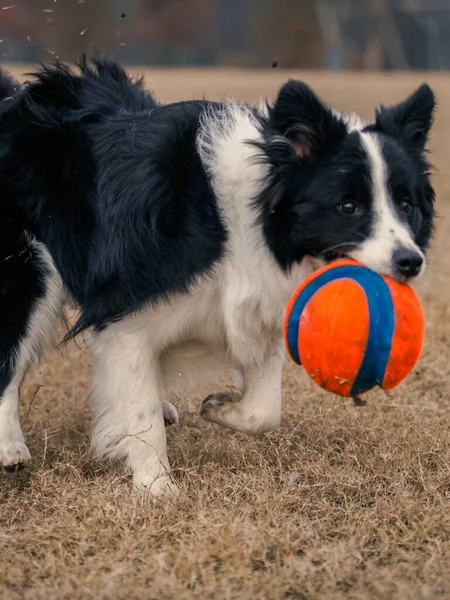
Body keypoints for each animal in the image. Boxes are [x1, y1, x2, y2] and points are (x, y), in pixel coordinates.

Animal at [0, 58, 436, 494]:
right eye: (348, 206)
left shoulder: (256, 303)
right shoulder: (125, 306)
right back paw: (10, 448)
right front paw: (156, 488)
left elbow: (264, 410)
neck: (249, 220)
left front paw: (218, 407)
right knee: (12, 352)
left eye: (406, 204)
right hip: (31, 270)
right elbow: (139, 406)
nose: (410, 262)